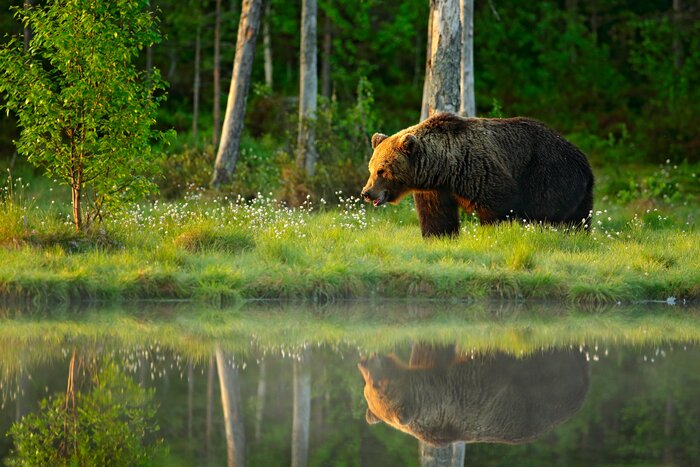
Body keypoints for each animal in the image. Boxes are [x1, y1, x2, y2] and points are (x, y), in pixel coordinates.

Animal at [360, 113, 594, 237]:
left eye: (382, 170)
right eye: (371, 168)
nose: (367, 192)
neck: (444, 169)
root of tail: (583, 158)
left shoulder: (480, 171)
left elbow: (497, 206)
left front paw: (492, 234)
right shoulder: (435, 189)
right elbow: (436, 216)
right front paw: (438, 236)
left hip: (550, 173)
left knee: (549, 212)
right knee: (580, 216)